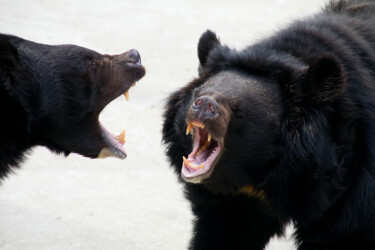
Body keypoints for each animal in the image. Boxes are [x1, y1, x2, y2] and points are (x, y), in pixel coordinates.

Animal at [163, 0, 375, 249]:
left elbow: (347, 233)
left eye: (239, 110)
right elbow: (224, 233)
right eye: (198, 94)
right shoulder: (233, 203)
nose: (204, 105)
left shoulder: (356, 183)